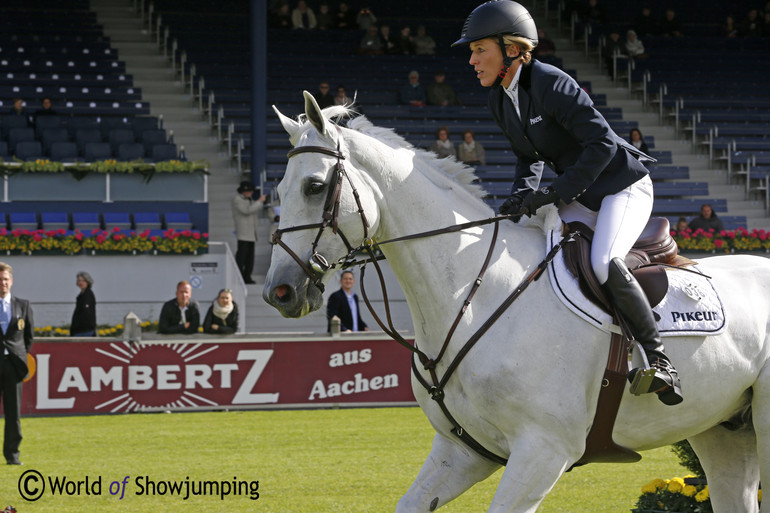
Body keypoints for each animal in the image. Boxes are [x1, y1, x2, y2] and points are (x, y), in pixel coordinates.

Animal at [262, 92, 768, 512]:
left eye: (313, 186)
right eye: (278, 192)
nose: (278, 292)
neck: (473, 294)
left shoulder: (543, 452)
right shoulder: (463, 452)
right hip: (722, 430)